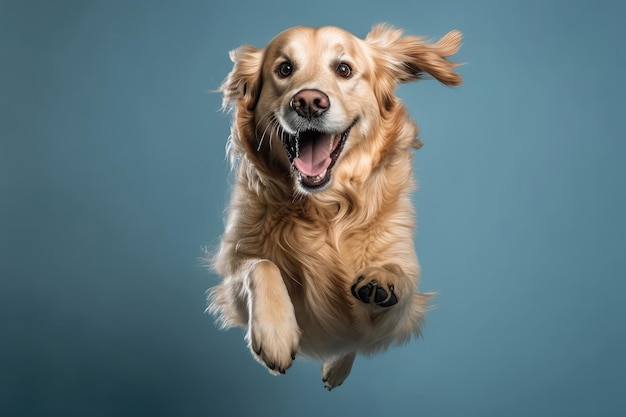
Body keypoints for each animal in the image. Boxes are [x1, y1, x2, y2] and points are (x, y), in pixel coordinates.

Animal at [207, 24, 460, 388]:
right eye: (285, 68)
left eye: (344, 69)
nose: (309, 102)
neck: (325, 209)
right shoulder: (233, 267)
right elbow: (261, 265)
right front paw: (275, 334)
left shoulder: (400, 309)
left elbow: (398, 284)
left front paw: (383, 279)